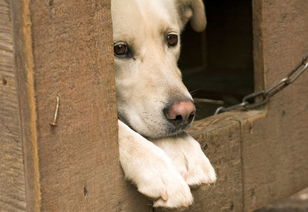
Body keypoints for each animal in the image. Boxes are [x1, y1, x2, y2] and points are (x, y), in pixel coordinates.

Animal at [112, 0, 215, 209]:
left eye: (172, 39)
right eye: (119, 49)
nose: (184, 114)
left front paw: (182, 148)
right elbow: (117, 129)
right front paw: (157, 168)